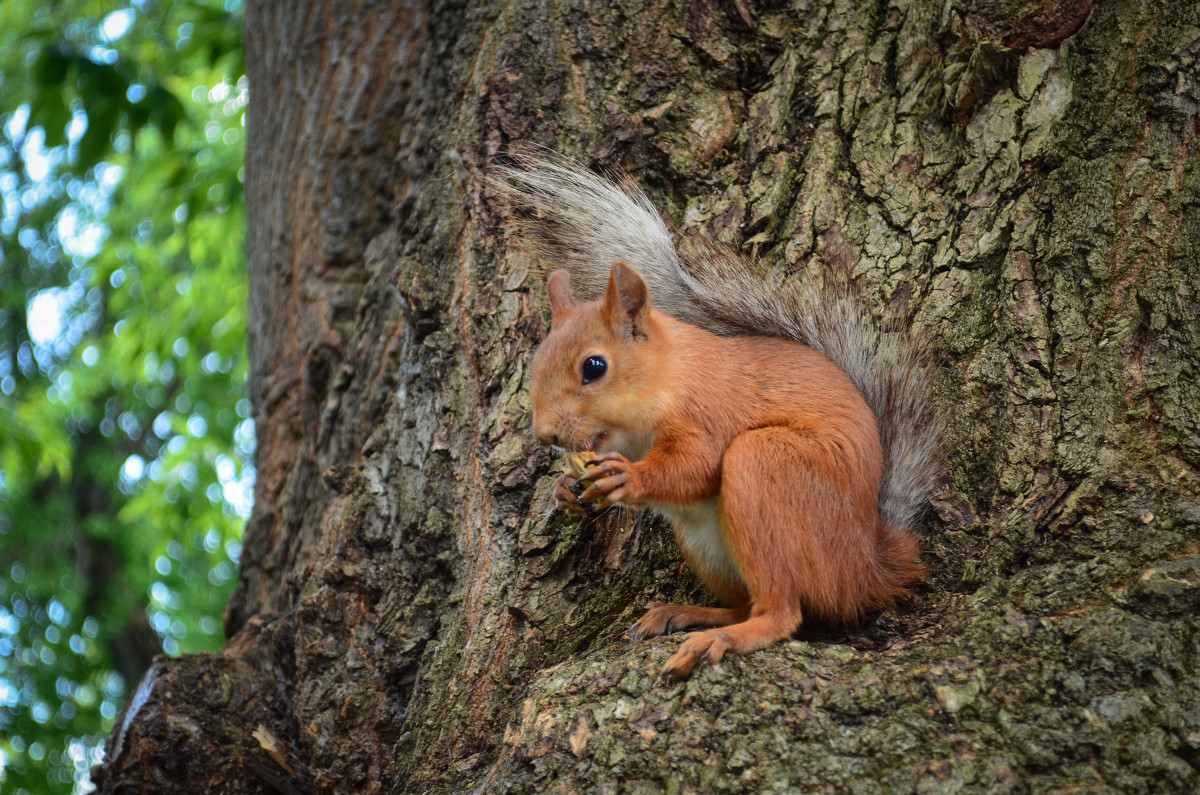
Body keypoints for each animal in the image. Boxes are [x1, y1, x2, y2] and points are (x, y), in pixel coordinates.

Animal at [487, 152, 936, 682]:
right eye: (535, 362)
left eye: (594, 367)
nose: (545, 435)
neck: (668, 379)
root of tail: (868, 568)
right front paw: (566, 492)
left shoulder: (710, 410)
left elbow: (696, 466)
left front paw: (628, 480)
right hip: (705, 544)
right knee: (748, 604)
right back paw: (688, 613)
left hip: (766, 466)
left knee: (782, 612)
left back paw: (722, 638)